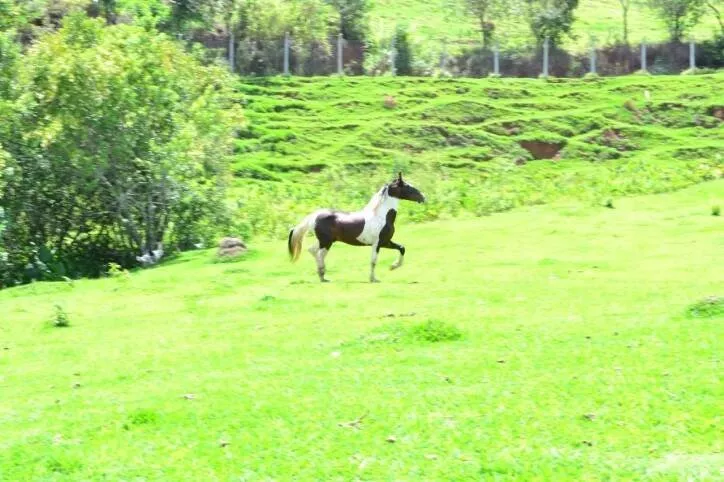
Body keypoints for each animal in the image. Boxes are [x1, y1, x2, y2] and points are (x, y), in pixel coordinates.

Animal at [287, 172, 426, 283]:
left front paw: (393, 266)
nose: (423, 197)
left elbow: (402, 248)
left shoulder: (386, 242)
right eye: (408, 187)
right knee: (319, 254)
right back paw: (323, 276)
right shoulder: (377, 244)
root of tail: (313, 216)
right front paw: (374, 279)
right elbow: (373, 261)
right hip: (326, 242)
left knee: (312, 251)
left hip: (324, 241)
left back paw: (322, 276)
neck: (381, 216)